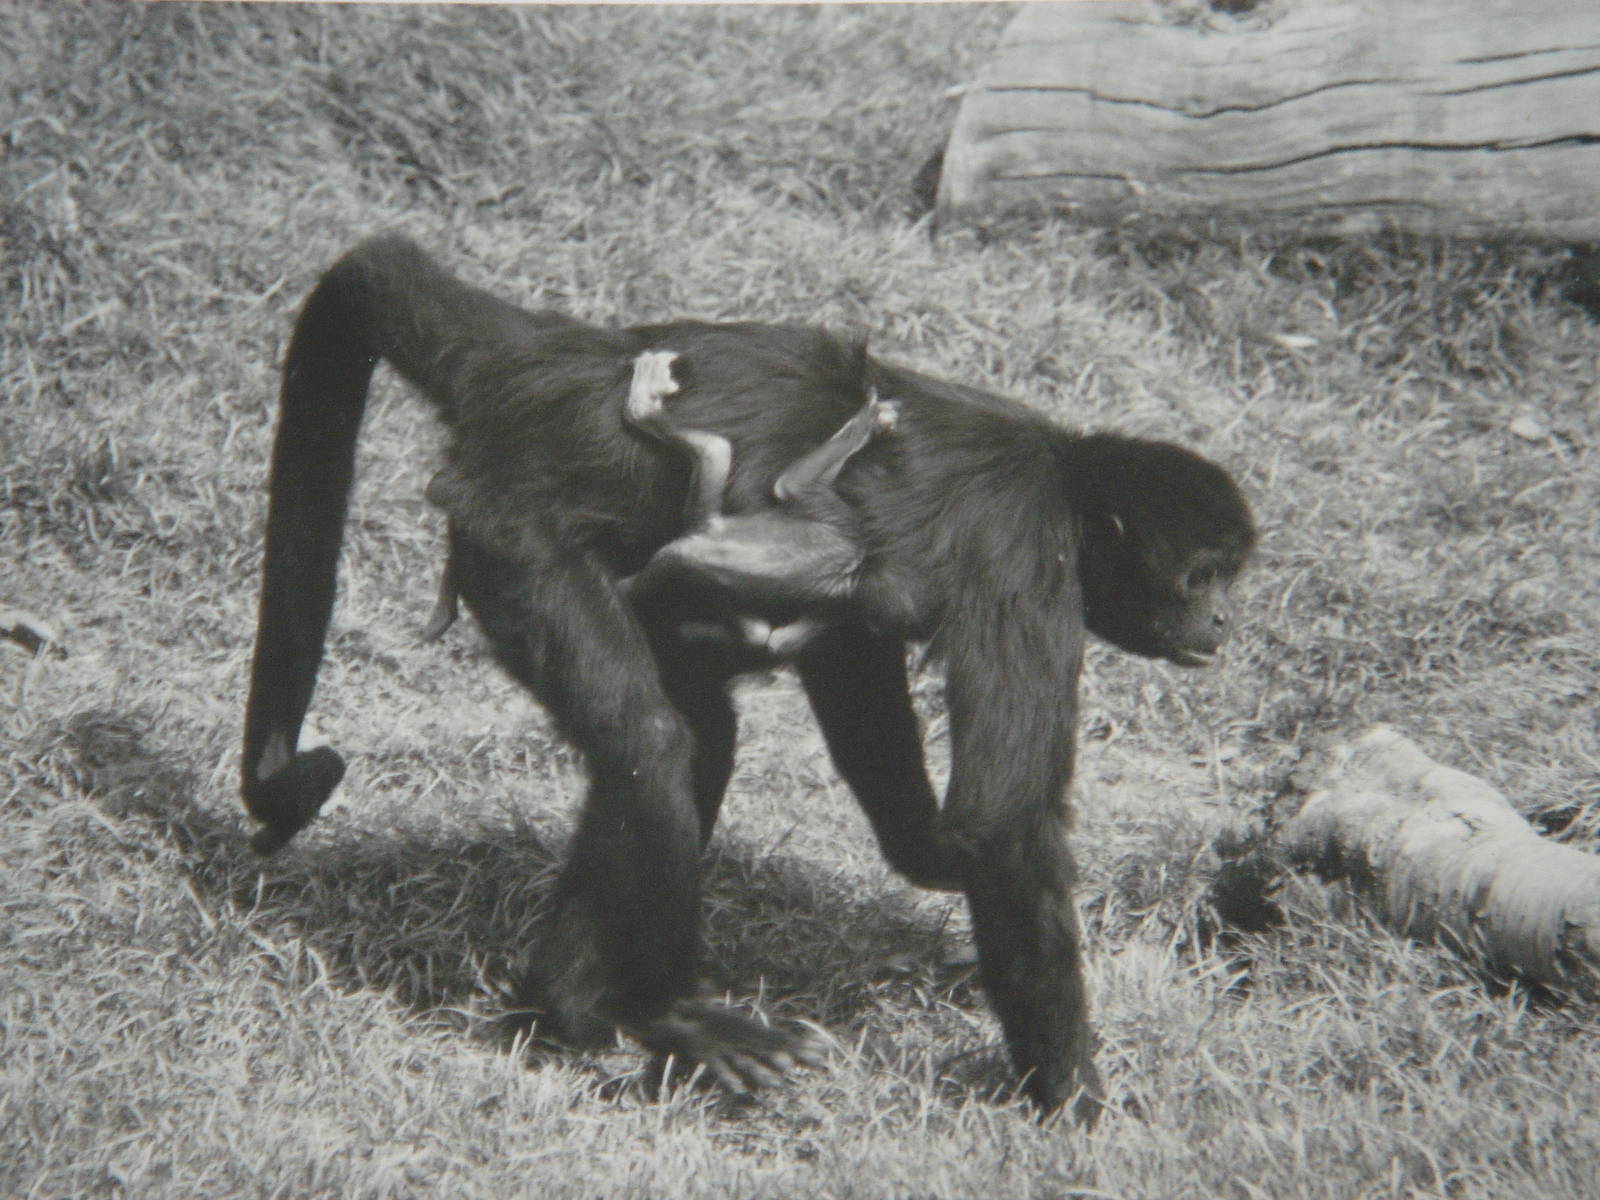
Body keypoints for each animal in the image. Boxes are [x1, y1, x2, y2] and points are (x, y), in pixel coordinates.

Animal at [241, 234, 1256, 1119]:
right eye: (1201, 576)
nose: (1222, 622)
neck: (1060, 469)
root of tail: (553, 359)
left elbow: (854, 652)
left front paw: (922, 848)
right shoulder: (1025, 547)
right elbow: (1004, 823)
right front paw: (1077, 1101)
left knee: (691, 740)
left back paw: (562, 1007)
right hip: (510, 529)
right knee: (651, 739)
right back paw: (663, 1014)